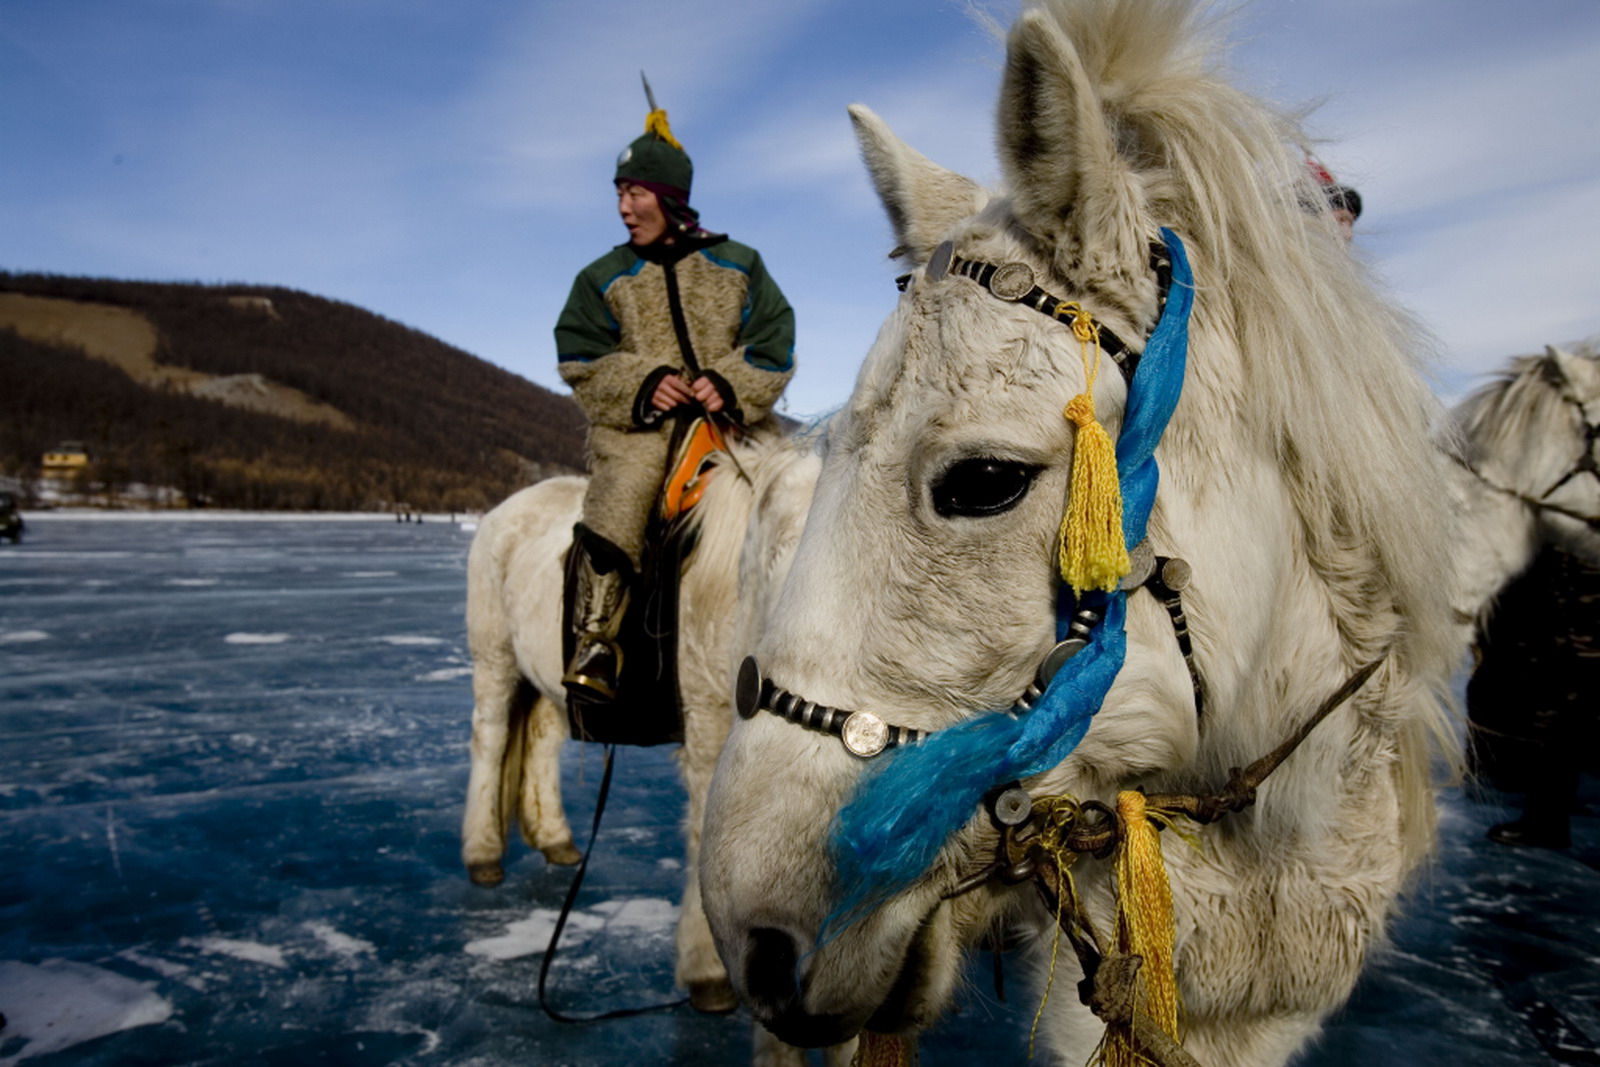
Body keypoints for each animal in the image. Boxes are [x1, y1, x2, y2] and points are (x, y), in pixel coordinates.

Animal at [457, 425, 819, 1017]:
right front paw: (707, 972)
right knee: (489, 738)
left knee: (540, 743)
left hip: (550, 681)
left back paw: (556, 839)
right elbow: (705, 832)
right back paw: (483, 854)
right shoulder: (710, 723)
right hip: (494, 655)